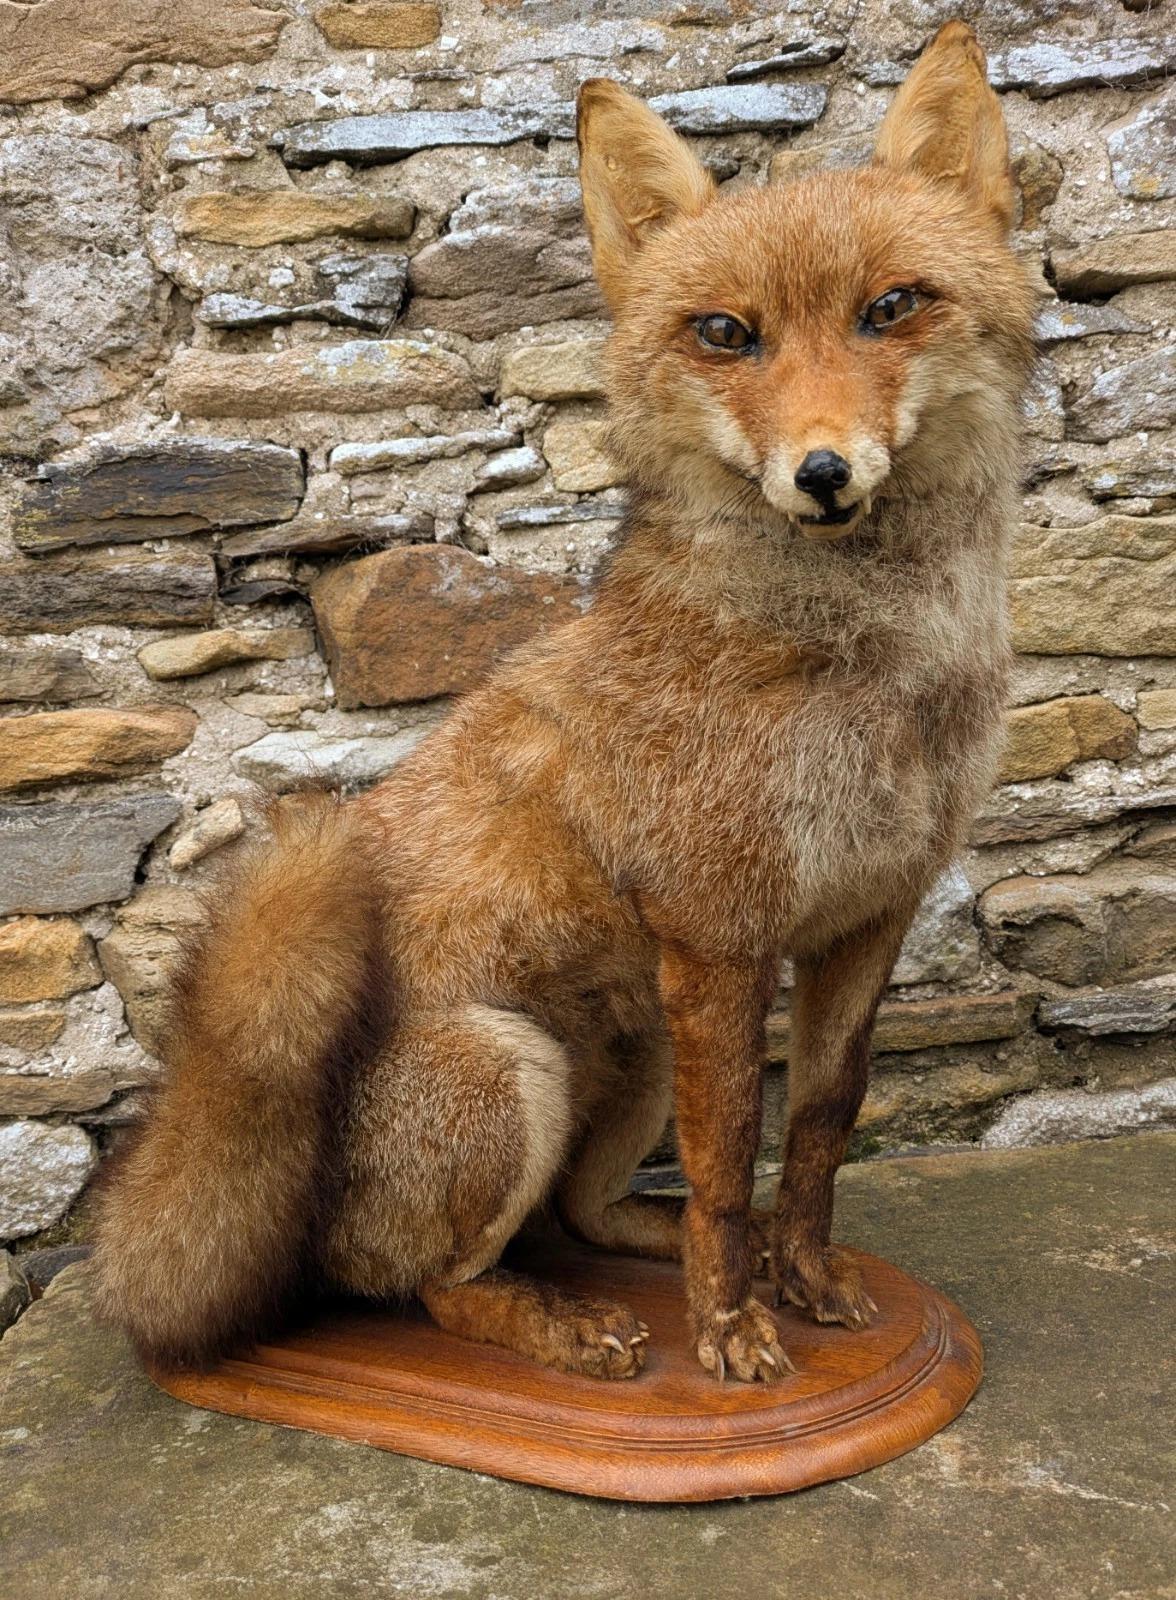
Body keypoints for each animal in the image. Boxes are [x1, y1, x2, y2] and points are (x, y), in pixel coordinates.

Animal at [93, 22, 1036, 1386]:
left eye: (891, 309)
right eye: (726, 334)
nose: (819, 472)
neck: (878, 677)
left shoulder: (867, 919)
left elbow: (811, 1133)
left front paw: (798, 1279)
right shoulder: (718, 936)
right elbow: (727, 1164)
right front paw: (731, 1333)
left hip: (630, 1056)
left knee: (581, 1215)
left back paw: (649, 1251)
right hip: (512, 1073)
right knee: (426, 1286)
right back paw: (560, 1323)